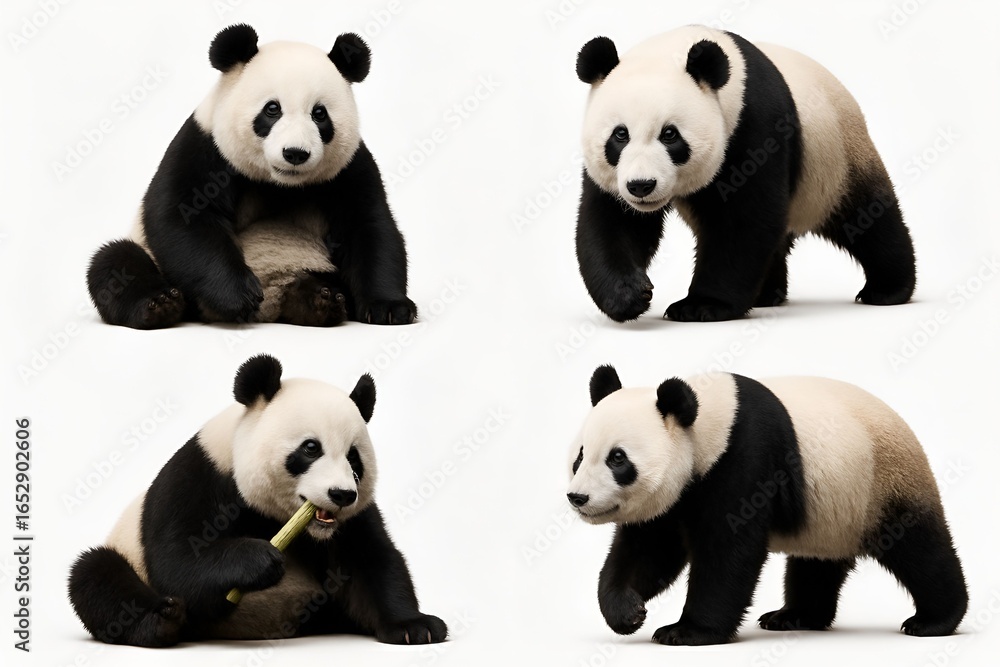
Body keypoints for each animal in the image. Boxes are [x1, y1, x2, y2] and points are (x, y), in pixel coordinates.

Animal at [68, 355, 447, 647]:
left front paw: (415, 627)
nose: (341, 495)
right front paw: (260, 560)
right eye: (311, 448)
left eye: (354, 458)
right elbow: (176, 560)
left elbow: (372, 560)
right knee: (96, 576)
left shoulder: (355, 519)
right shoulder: (198, 477)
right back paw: (161, 622)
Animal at [87, 24, 416, 329]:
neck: (280, 184)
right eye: (272, 109)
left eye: (320, 114)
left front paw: (390, 308)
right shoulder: (206, 146)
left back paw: (317, 299)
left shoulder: (349, 167)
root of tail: (272, 304)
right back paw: (160, 304)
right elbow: (182, 214)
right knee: (115, 263)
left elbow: (369, 227)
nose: (295, 153)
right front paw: (235, 297)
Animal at [567, 365, 967, 645]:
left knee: (919, 549)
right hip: (832, 508)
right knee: (816, 562)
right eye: (580, 456)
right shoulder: (676, 498)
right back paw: (795, 617)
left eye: (618, 459)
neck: (708, 426)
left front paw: (686, 632)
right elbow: (650, 551)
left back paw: (933, 621)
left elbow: (728, 554)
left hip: (882, 482)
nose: (577, 497)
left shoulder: (746, 459)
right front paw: (628, 612)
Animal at [574, 25, 917, 322]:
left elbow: (745, 220)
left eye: (670, 135)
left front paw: (702, 306)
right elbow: (612, 221)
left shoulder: (754, 125)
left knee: (867, 218)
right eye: (620, 135)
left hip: (837, 159)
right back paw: (766, 294)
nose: (641, 186)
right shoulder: (612, 176)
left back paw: (887, 289)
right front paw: (629, 295)